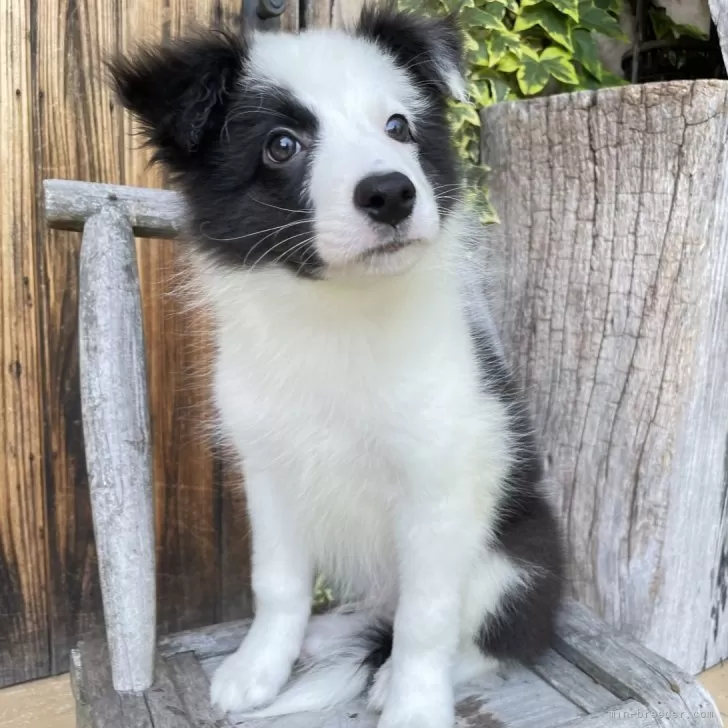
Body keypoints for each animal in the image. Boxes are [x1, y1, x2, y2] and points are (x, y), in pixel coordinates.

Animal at [112, 7, 564, 728]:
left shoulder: (438, 487)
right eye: (281, 145)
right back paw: (331, 632)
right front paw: (256, 670)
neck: (337, 314)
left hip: (517, 561)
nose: (392, 193)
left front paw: (414, 707)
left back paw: (395, 677)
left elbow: (426, 620)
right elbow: (276, 584)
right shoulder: (268, 472)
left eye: (399, 127)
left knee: (497, 633)